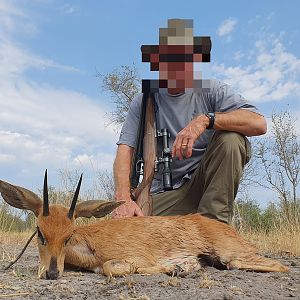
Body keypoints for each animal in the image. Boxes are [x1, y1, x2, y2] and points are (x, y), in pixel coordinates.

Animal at [1, 172, 290, 280]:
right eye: (40, 233)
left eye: (69, 235)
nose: (51, 273)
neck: (89, 248)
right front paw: (184, 266)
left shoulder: (133, 257)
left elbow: (112, 267)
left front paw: (178, 267)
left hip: (232, 254)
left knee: (277, 265)